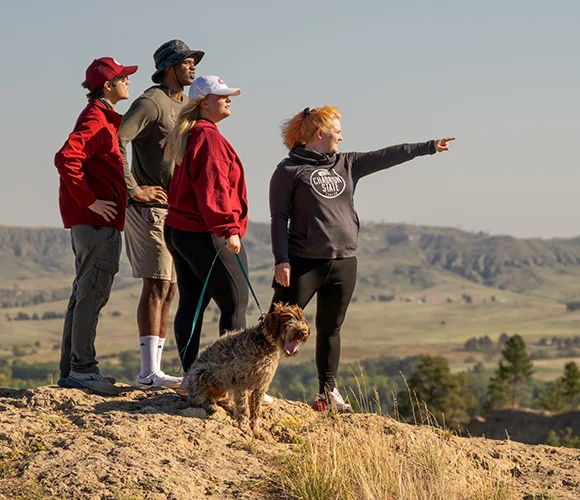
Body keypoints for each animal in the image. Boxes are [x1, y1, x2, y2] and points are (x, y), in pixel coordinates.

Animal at [188, 302, 310, 436]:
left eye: (302, 320)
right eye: (288, 319)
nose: (304, 332)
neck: (265, 343)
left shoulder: (261, 386)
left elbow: (255, 411)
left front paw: (255, 429)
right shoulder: (241, 383)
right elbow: (243, 408)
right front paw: (244, 426)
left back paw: (228, 405)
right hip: (201, 375)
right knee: (197, 399)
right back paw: (210, 405)